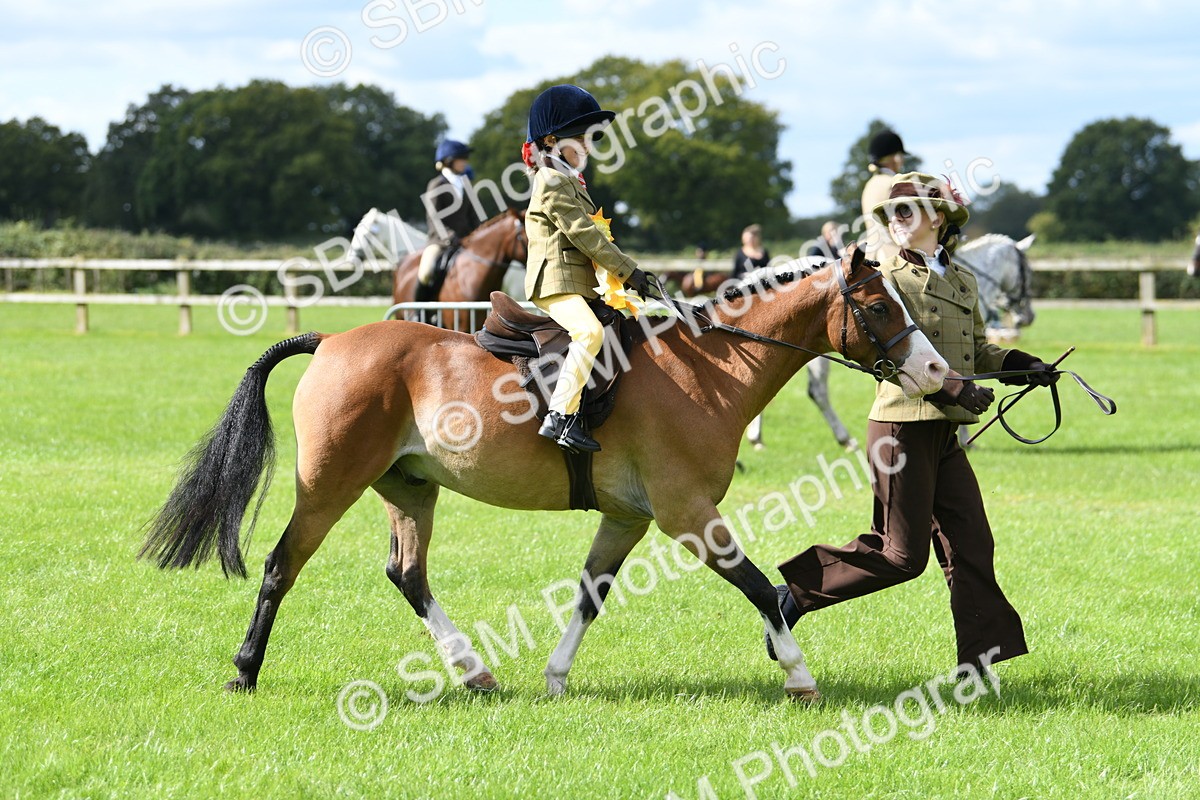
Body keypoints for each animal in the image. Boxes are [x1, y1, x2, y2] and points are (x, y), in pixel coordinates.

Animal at [139, 246, 948, 703]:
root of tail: (334, 339)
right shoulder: (687, 514)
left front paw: (556, 679)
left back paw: (474, 672)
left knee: (407, 574)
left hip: (410, 488)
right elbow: (755, 586)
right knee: (282, 565)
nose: (940, 373)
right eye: (879, 307)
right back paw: (245, 672)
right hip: (328, 485)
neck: (707, 368)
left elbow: (591, 594)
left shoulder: (629, 517)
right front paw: (799, 675)